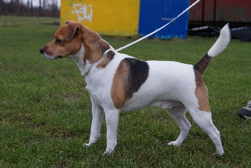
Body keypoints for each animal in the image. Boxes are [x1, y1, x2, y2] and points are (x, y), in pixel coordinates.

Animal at [40, 20, 230, 155]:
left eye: (58, 40)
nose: (41, 50)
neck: (98, 62)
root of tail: (195, 68)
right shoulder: (97, 108)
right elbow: (94, 130)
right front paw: (90, 145)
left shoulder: (111, 111)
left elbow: (110, 136)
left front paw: (108, 153)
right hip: (175, 110)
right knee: (186, 126)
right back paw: (176, 144)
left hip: (200, 113)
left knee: (215, 133)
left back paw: (219, 154)